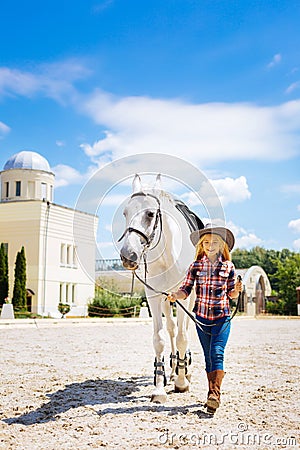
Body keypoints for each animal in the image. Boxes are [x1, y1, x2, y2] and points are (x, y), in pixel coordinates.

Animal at [118, 174, 203, 402]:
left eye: (150, 214)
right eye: (125, 213)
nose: (128, 255)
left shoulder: (184, 297)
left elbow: (183, 337)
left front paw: (182, 382)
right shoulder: (154, 297)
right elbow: (159, 339)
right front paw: (159, 387)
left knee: (184, 329)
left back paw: (184, 370)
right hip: (166, 299)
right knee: (172, 329)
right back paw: (173, 370)